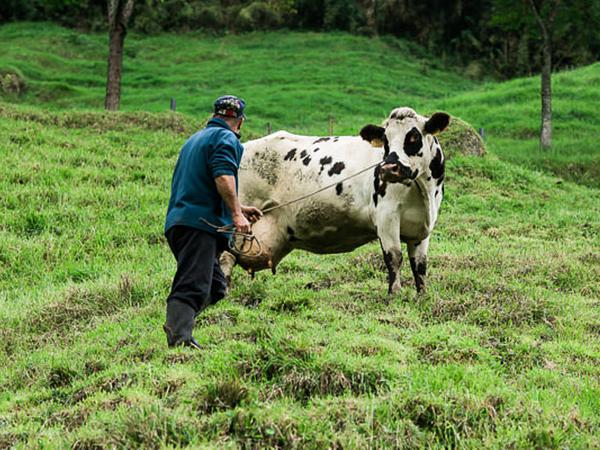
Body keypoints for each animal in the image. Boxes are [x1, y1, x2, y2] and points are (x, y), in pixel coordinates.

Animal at [220, 107, 450, 294]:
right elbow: (394, 257)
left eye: (413, 137)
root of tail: (243, 146)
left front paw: (422, 295)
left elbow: (419, 264)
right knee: (224, 257)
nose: (388, 168)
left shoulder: (422, 227)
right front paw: (395, 295)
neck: (423, 191)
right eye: (385, 140)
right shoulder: (386, 217)